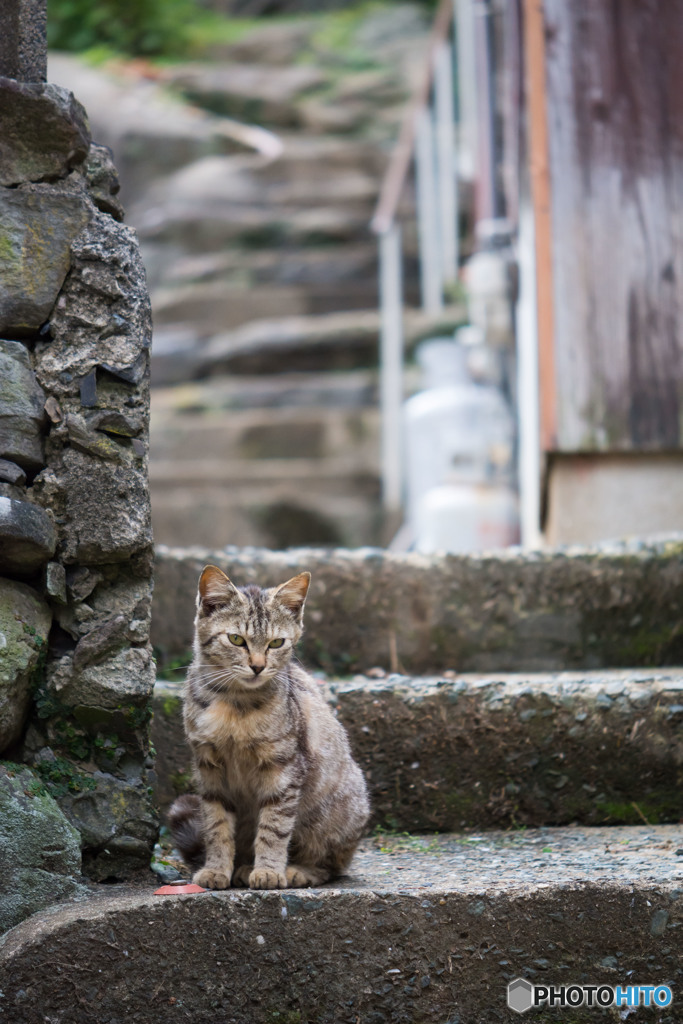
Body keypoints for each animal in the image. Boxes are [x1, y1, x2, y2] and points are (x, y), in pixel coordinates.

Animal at [168, 569, 370, 888]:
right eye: (236, 639)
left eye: (276, 643)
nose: (258, 666)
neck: (235, 705)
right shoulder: (210, 771)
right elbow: (216, 825)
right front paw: (216, 869)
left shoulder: (284, 770)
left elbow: (274, 827)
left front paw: (268, 871)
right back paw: (241, 868)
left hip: (335, 814)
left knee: (331, 865)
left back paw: (296, 871)